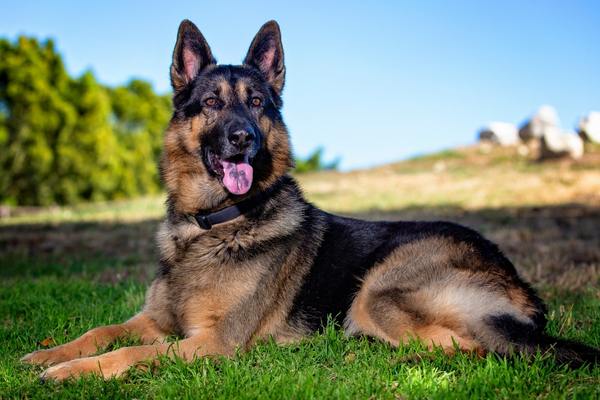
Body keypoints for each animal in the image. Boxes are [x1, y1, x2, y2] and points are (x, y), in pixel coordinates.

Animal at [23, 19, 600, 382]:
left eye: (258, 103)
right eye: (210, 103)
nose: (243, 139)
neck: (213, 225)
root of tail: (520, 283)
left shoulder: (212, 344)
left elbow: (131, 351)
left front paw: (68, 372)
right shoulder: (156, 320)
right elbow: (103, 330)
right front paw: (44, 354)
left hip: (379, 294)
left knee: (477, 350)